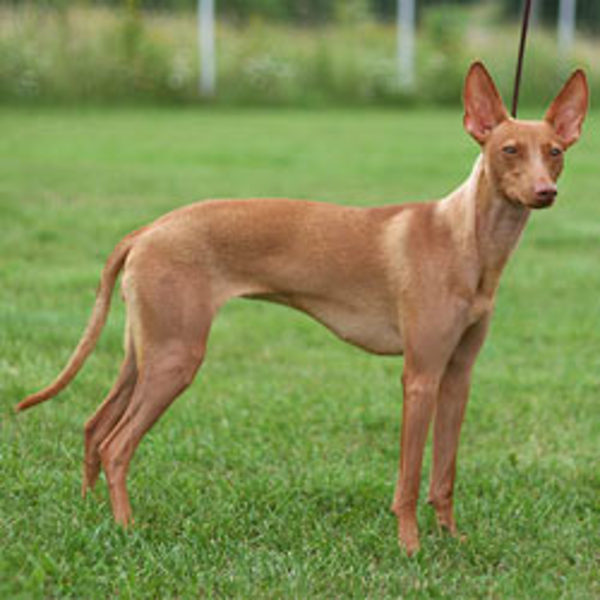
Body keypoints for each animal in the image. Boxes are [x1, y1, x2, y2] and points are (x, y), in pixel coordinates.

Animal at [16, 61, 588, 552]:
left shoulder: (457, 375)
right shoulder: (420, 376)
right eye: (509, 149)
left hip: (146, 352)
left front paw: (450, 539)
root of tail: (149, 229)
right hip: (176, 357)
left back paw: (91, 514)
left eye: (556, 151)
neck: (465, 241)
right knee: (116, 445)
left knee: (94, 427)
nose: (546, 192)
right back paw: (127, 528)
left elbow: (444, 473)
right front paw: (411, 547)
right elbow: (408, 479)